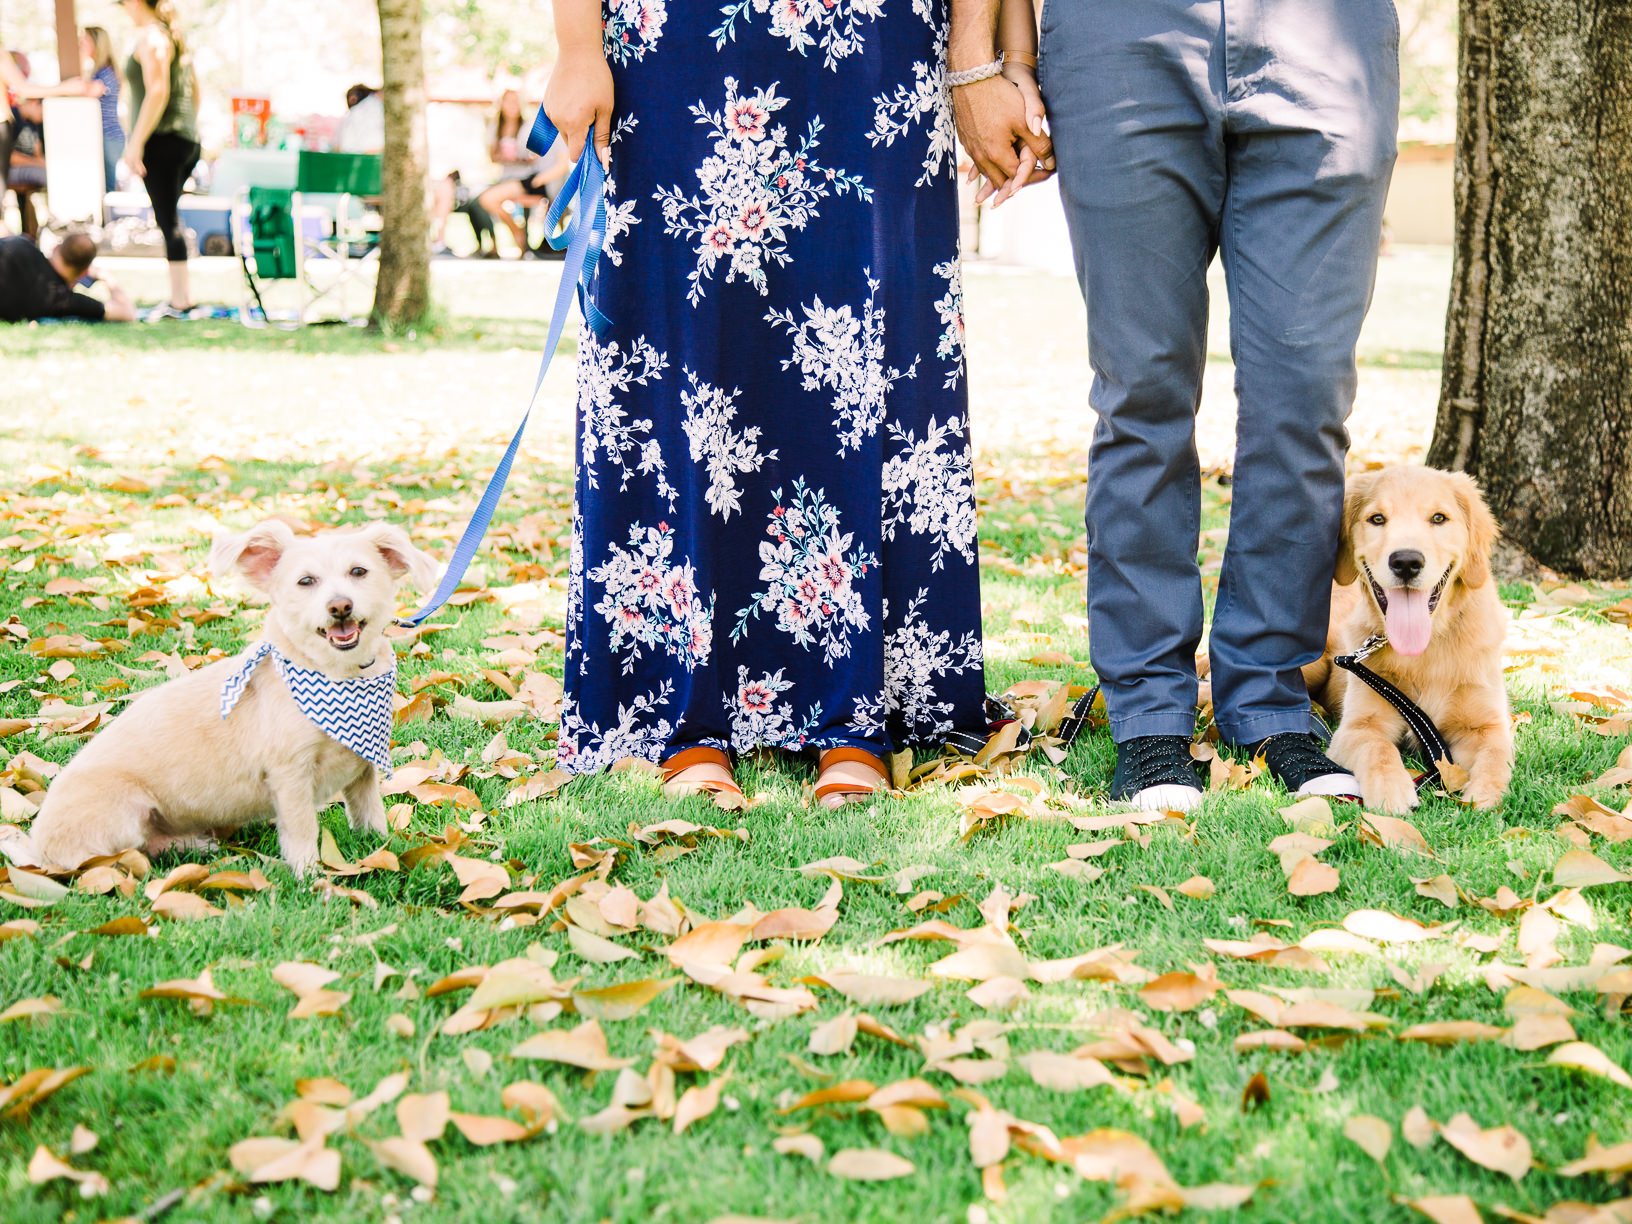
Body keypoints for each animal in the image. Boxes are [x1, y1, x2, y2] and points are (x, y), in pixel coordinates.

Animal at [27, 522, 434, 874]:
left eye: (359, 571)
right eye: (305, 581)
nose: (340, 606)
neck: (338, 673)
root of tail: (36, 849)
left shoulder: (363, 769)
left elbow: (371, 816)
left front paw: (381, 848)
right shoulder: (290, 775)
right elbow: (303, 831)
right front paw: (311, 877)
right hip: (124, 815)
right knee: (124, 855)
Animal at [1305, 466, 1507, 816]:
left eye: (1439, 518)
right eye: (1377, 519)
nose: (1407, 562)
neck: (1426, 651)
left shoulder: (1487, 726)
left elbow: (1495, 758)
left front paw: (1484, 796)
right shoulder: (1357, 726)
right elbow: (1378, 748)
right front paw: (1392, 792)